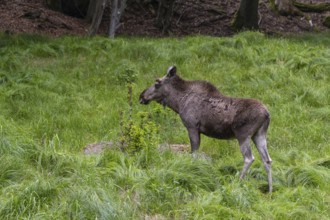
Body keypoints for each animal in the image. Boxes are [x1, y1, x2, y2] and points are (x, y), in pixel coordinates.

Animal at [139, 65, 274, 192]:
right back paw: (270, 190)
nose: (141, 96)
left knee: (249, 158)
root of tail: (267, 114)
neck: (178, 102)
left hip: (243, 135)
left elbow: (194, 154)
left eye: (157, 82)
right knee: (267, 160)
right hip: (259, 134)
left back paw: (238, 182)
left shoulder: (192, 127)